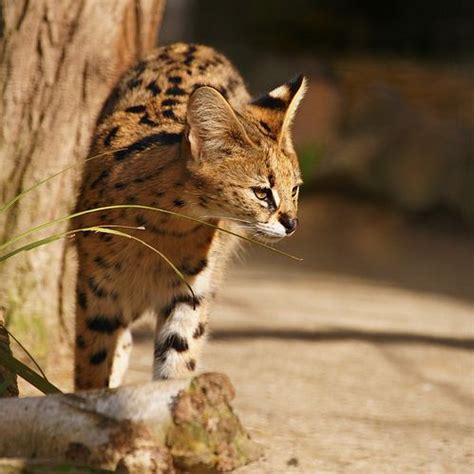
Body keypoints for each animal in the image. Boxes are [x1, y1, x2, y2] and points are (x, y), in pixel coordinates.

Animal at [72, 41, 306, 388]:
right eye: (262, 193)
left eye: (295, 190)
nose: (291, 224)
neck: (163, 227)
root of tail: (193, 45)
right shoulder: (98, 292)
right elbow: (92, 366)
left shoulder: (189, 294)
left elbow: (178, 359)